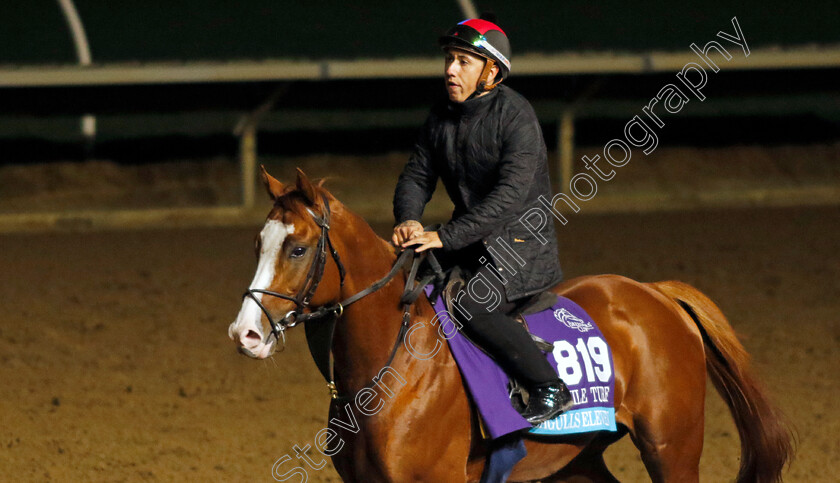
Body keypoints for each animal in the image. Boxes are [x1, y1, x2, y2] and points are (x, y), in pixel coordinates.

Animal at [226, 168, 792, 482]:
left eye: (298, 248)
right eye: (257, 244)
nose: (245, 334)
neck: (390, 370)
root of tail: (655, 293)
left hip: (672, 450)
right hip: (577, 462)